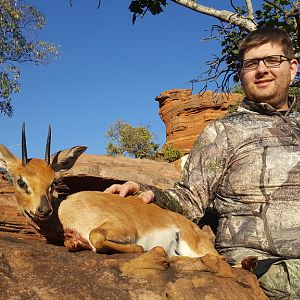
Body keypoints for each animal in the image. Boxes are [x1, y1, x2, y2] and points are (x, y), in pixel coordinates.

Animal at [0, 125, 220, 258]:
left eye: (53, 181)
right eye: (21, 181)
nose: (44, 210)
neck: (66, 210)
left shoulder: (122, 228)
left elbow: (96, 237)